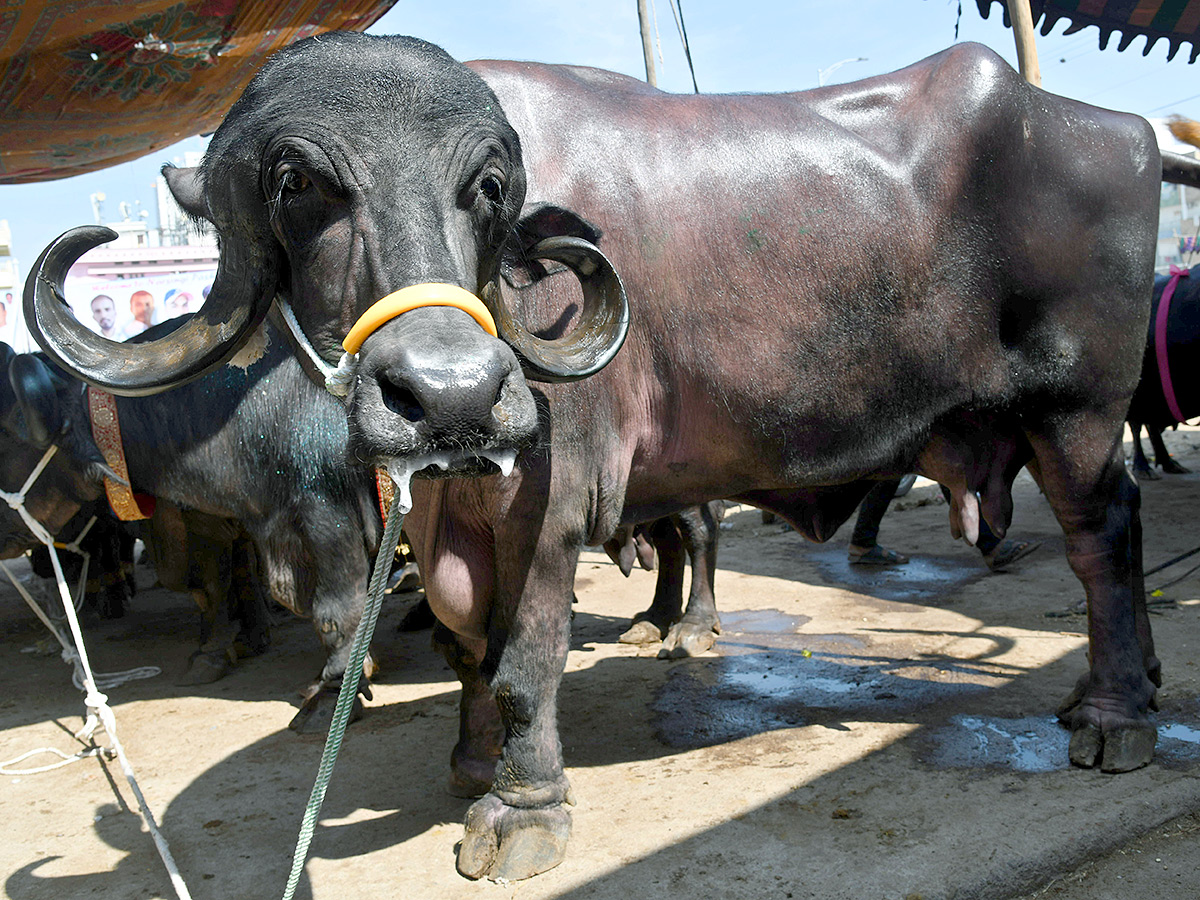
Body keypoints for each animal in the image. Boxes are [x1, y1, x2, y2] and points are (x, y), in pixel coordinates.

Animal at [23, 33, 1195, 883]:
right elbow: (466, 645)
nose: (451, 397)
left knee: (1103, 540)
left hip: (1077, 411)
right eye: (298, 183)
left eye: (487, 186)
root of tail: (1113, 128)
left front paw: (523, 808)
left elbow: (526, 660)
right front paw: (472, 761)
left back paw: (1112, 717)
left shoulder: (548, 510)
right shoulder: (447, 511)